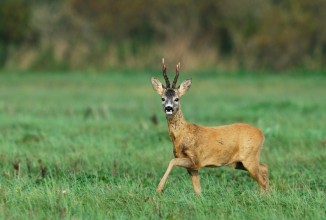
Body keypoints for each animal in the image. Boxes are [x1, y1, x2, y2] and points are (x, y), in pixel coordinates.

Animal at [152, 58, 268, 194]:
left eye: (177, 99)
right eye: (162, 98)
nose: (168, 108)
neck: (182, 134)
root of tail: (261, 134)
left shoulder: (196, 159)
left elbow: (172, 161)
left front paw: (159, 189)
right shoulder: (193, 167)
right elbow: (197, 190)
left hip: (249, 156)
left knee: (262, 180)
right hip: (239, 162)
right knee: (264, 168)